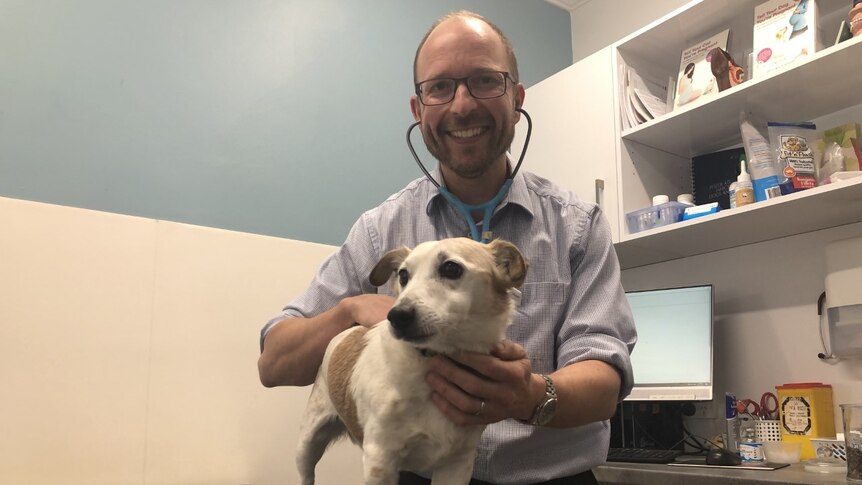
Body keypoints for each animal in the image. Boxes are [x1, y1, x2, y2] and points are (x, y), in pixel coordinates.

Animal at [296, 238, 528, 484]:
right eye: (403, 275)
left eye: (451, 268)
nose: (397, 316)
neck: (430, 360)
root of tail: (351, 330)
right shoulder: (380, 459)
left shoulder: (457, 464)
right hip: (308, 443)